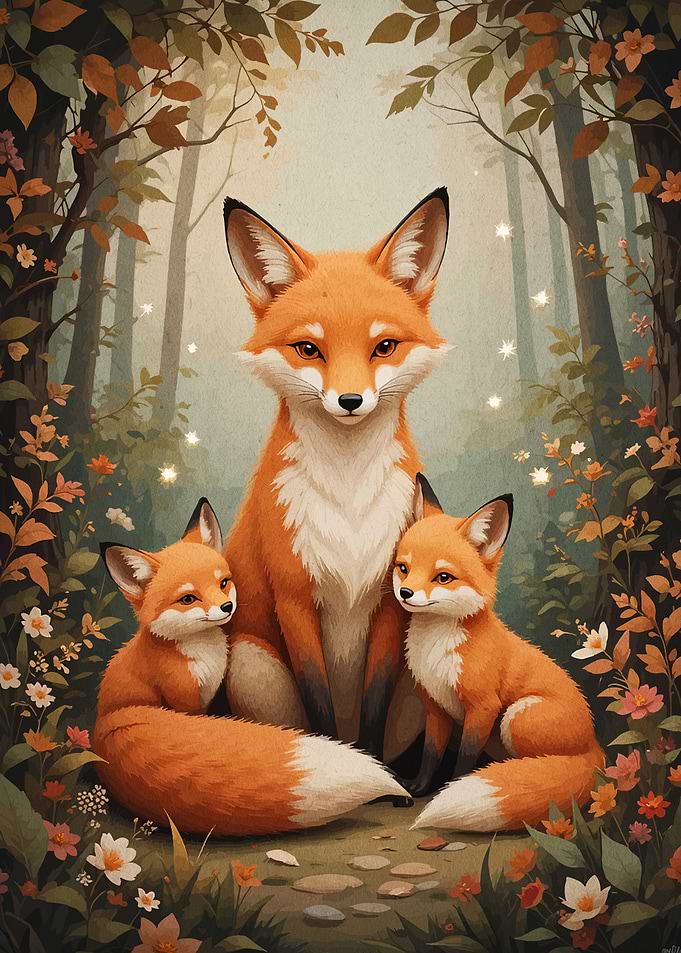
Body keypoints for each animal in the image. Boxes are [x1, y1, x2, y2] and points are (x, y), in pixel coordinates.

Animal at [222, 188, 450, 757]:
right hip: (249, 661)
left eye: (383, 346)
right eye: (310, 349)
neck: (348, 499)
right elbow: (320, 706)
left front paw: (374, 762)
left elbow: (372, 706)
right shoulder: (294, 599)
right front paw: (349, 760)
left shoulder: (391, 602)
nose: (350, 401)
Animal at [393, 476, 604, 831]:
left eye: (443, 577)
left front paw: (452, 788)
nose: (405, 593)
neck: (437, 651)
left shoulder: (483, 707)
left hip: (515, 717)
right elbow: (430, 755)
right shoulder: (435, 707)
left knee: (542, 766)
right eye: (403, 568)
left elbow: (463, 759)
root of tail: (594, 744)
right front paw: (420, 788)